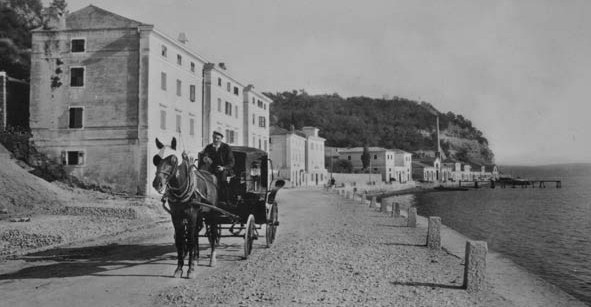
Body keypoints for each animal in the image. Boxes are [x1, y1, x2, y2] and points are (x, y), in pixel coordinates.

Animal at [153, 137, 222, 280]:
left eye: (173, 160)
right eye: (156, 159)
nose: (157, 183)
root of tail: (211, 175)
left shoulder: (192, 215)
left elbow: (189, 241)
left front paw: (190, 270)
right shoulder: (176, 216)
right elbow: (181, 240)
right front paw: (179, 268)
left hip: (212, 214)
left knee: (213, 234)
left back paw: (212, 258)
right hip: (200, 216)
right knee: (196, 234)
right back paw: (195, 259)